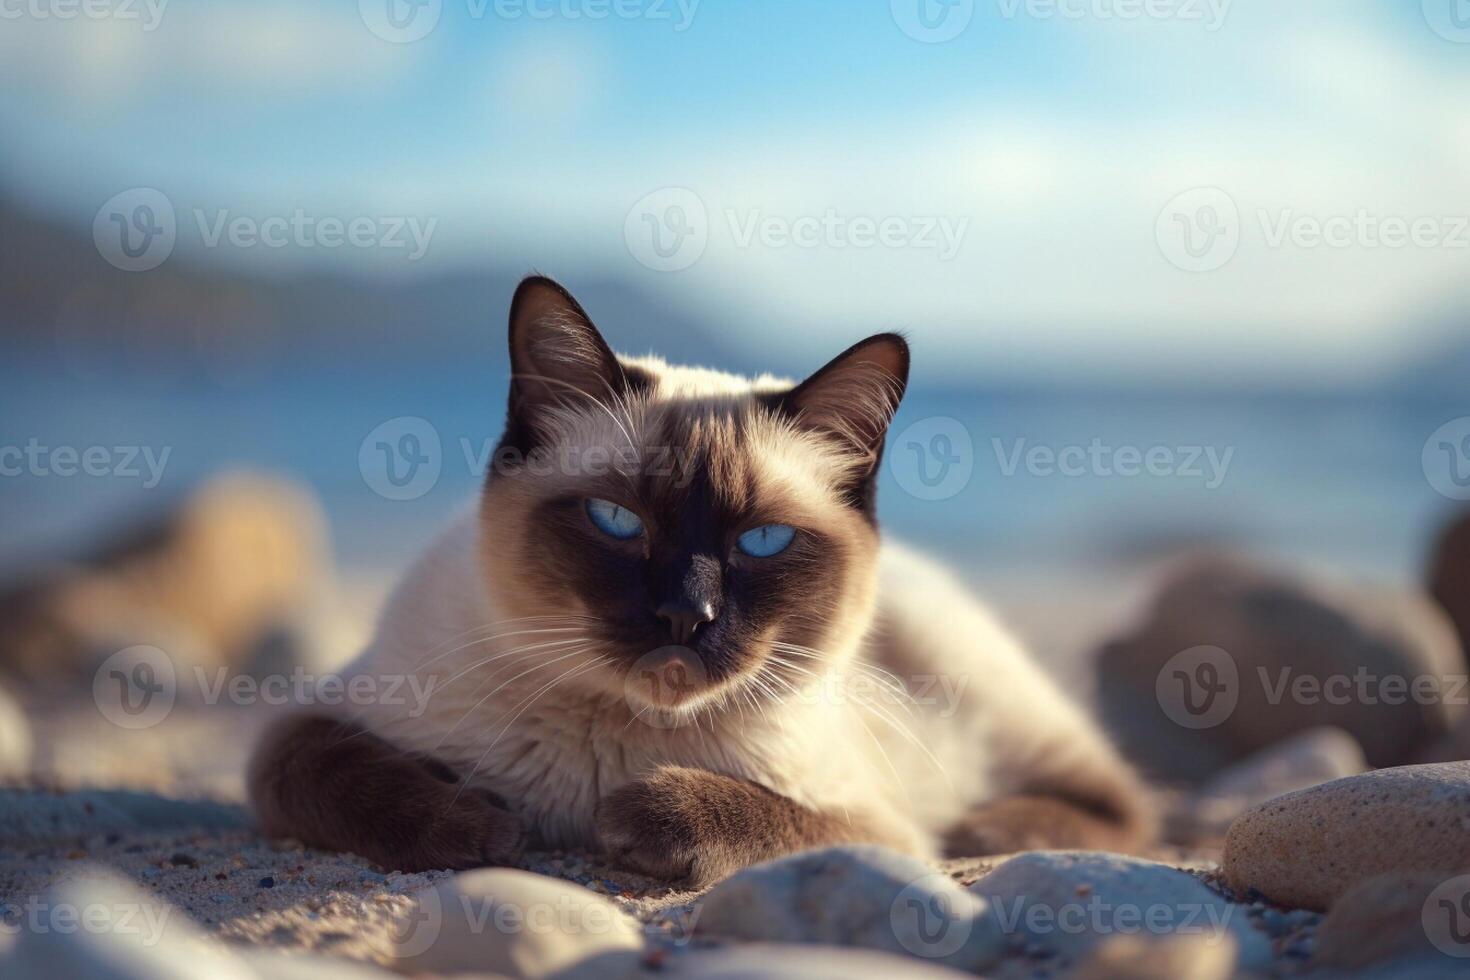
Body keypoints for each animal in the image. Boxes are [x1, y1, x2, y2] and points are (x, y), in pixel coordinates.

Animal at [246, 277, 1152, 887]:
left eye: (762, 540)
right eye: (617, 522)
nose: (688, 614)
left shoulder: (876, 830)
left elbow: (777, 820)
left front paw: (643, 814)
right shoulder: (308, 723)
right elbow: (333, 771)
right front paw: (477, 826)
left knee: (1126, 804)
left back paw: (983, 828)